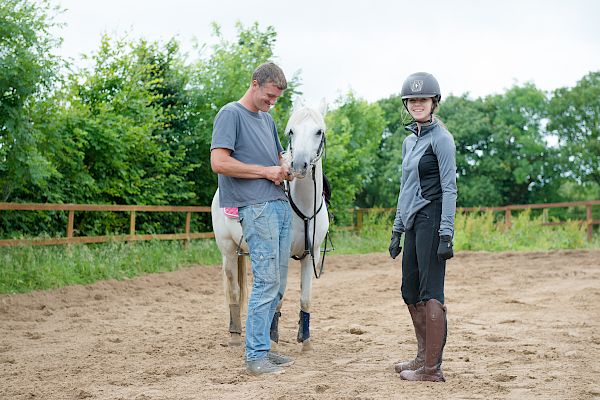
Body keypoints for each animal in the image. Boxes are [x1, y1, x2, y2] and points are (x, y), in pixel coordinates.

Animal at [211, 99, 330, 350]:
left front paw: (305, 341)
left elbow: (305, 298)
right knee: (233, 290)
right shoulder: (281, 253)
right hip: (227, 250)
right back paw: (235, 335)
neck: (303, 209)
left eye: (319, 131)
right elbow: (278, 297)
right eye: (291, 131)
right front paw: (273, 339)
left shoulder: (311, 254)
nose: (298, 165)